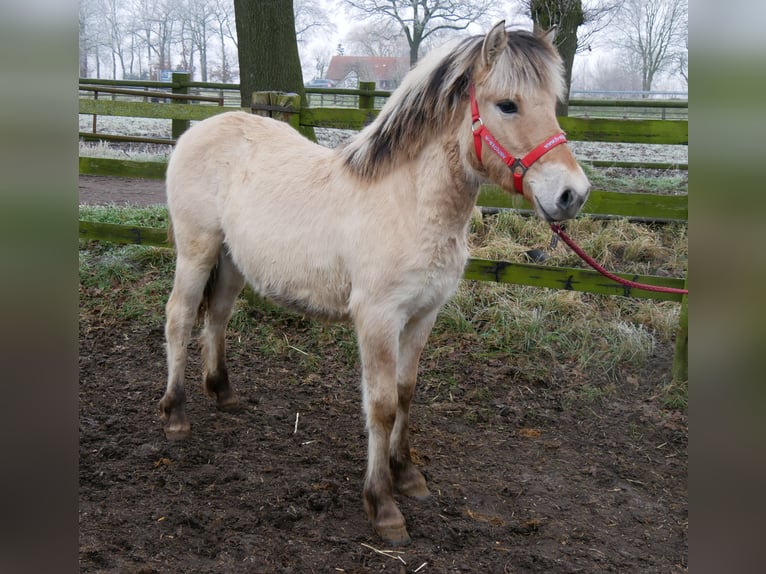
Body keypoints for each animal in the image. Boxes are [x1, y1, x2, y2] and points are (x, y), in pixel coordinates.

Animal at [160, 20, 592, 548]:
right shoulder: (378, 319)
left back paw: (223, 393)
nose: (572, 194)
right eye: (507, 104)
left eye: (552, 103)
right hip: (197, 249)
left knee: (217, 316)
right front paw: (383, 505)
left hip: (232, 260)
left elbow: (406, 393)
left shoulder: (423, 315)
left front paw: (407, 475)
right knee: (180, 316)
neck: (409, 202)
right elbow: (382, 406)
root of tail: (197, 130)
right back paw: (176, 415)